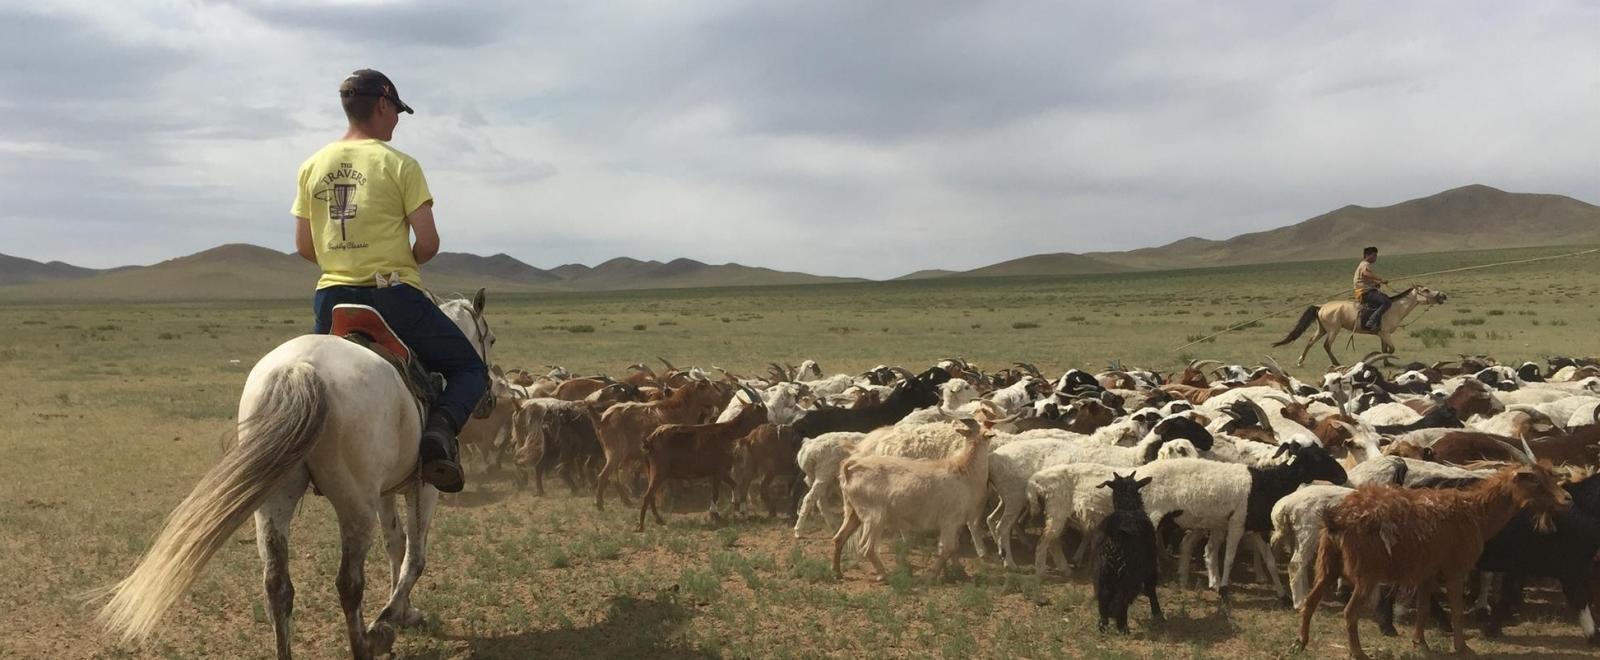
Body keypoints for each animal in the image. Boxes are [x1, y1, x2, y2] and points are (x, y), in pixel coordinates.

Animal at [96, 288, 492, 660]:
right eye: (489, 337)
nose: (488, 400)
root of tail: (300, 368)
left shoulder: (387, 490)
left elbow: (395, 545)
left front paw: (404, 612)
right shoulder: (423, 487)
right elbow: (414, 558)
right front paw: (387, 622)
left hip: (274, 499)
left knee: (277, 585)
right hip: (354, 504)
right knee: (349, 584)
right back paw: (366, 644)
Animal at [1273, 285, 1452, 366]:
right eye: (1426, 290)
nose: (1443, 296)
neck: (1395, 308)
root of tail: (1321, 306)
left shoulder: (1382, 334)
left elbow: (1385, 349)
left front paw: (1386, 363)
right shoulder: (1386, 333)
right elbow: (1391, 349)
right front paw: (1381, 360)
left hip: (1322, 329)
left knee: (1310, 342)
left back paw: (1300, 361)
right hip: (1333, 330)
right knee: (1326, 345)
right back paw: (1336, 363)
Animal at [1299, 458, 1574, 660]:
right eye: (1536, 482)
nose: (1567, 499)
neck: (1476, 513)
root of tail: (1338, 520)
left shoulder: (1427, 572)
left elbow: (1422, 610)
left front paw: (1420, 643)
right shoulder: (1455, 569)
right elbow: (1457, 610)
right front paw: (1462, 647)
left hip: (1328, 563)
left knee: (1310, 601)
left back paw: (1301, 642)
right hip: (1367, 572)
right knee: (1349, 612)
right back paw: (1358, 652)